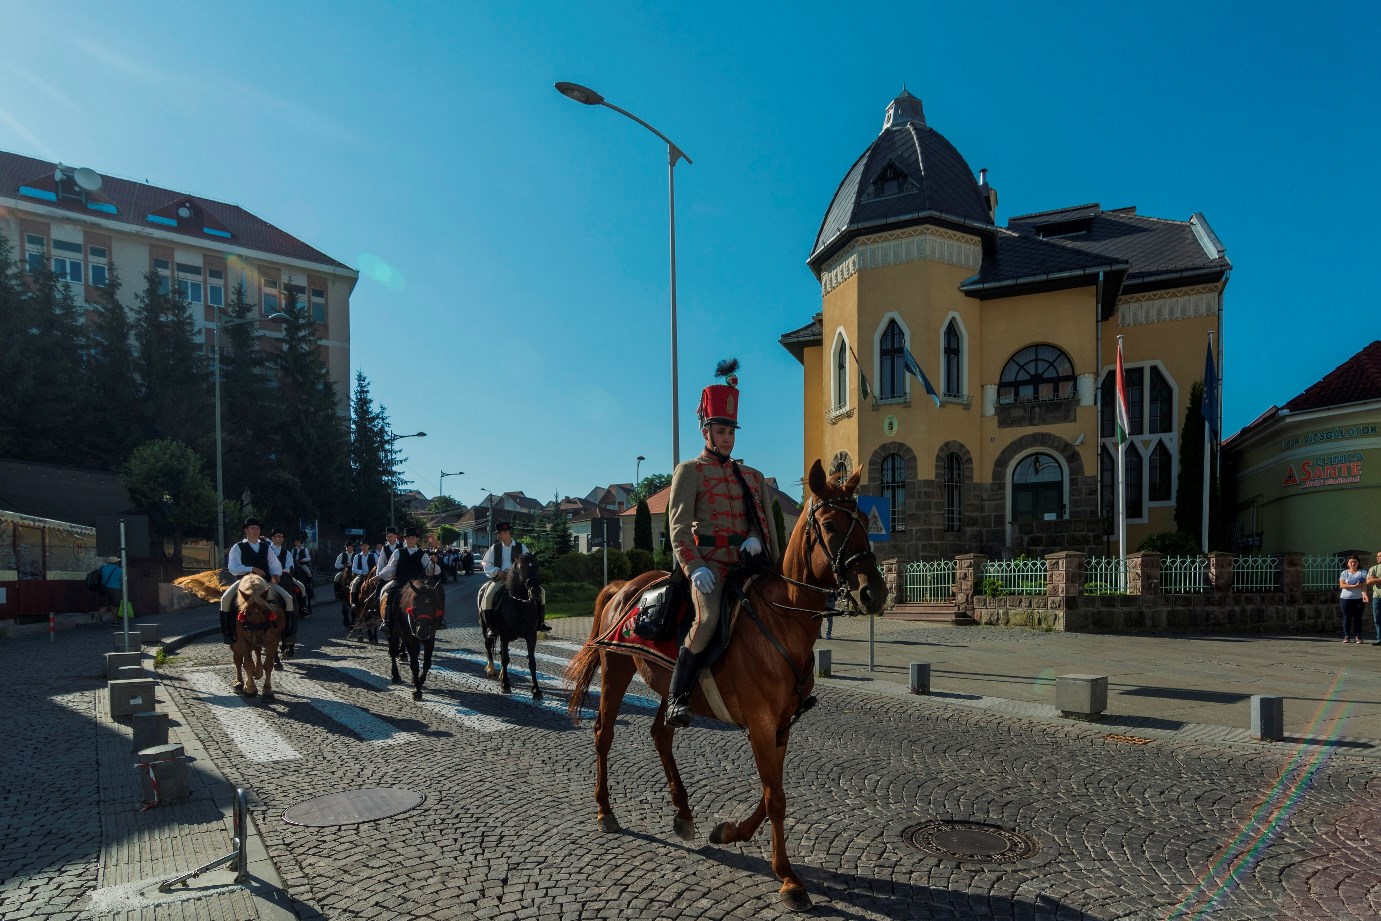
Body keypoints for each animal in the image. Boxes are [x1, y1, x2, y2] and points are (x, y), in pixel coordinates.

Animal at [230, 577, 287, 706]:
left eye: (266, 611)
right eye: (247, 612)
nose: (259, 638)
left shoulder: (273, 640)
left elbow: (268, 665)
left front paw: (267, 691)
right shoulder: (243, 640)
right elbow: (247, 664)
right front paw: (250, 689)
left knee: (257, 652)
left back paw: (258, 672)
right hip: (236, 644)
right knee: (238, 660)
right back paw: (239, 683)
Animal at [480, 555, 544, 698]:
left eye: (536, 566)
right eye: (520, 569)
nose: (535, 592)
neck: (519, 604)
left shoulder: (531, 636)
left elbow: (532, 662)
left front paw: (536, 689)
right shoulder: (505, 636)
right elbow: (505, 659)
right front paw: (505, 685)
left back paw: (501, 674)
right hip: (484, 627)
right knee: (488, 646)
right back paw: (491, 669)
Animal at [566, 463, 889, 911]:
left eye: (861, 520)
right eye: (828, 524)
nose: (874, 592)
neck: (781, 621)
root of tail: (624, 585)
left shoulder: (782, 725)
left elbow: (771, 793)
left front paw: (730, 832)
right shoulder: (760, 724)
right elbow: (776, 798)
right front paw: (788, 878)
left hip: (670, 688)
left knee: (661, 733)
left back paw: (683, 813)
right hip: (615, 671)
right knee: (604, 734)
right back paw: (604, 811)